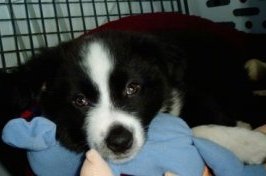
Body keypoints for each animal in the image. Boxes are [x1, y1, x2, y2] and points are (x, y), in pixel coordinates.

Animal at [0, 30, 266, 164]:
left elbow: (198, 127)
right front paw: (252, 144)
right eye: (79, 101)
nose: (119, 142)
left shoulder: (189, 93)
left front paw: (251, 144)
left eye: (132, 88)